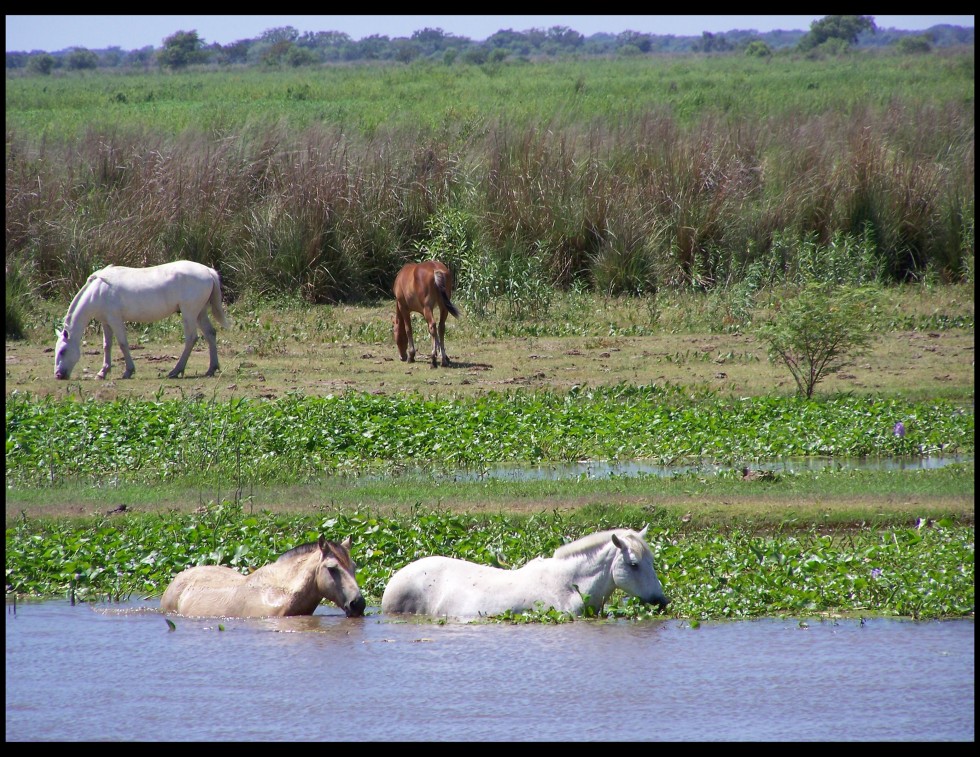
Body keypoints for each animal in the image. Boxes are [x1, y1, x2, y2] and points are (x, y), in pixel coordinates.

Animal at [54, 260, 229, 380]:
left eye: (63, 351)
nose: (58, 375)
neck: (97, 291)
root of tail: (208, 271)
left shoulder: (115, 320)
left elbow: (123, 344)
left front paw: (128, 371)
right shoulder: (106, 322)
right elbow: (107, 346)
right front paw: (103, 372)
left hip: (189, 313)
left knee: (191, 338)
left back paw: (176, 370)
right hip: (200, 313)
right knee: (210, 334)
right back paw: (211, 369)